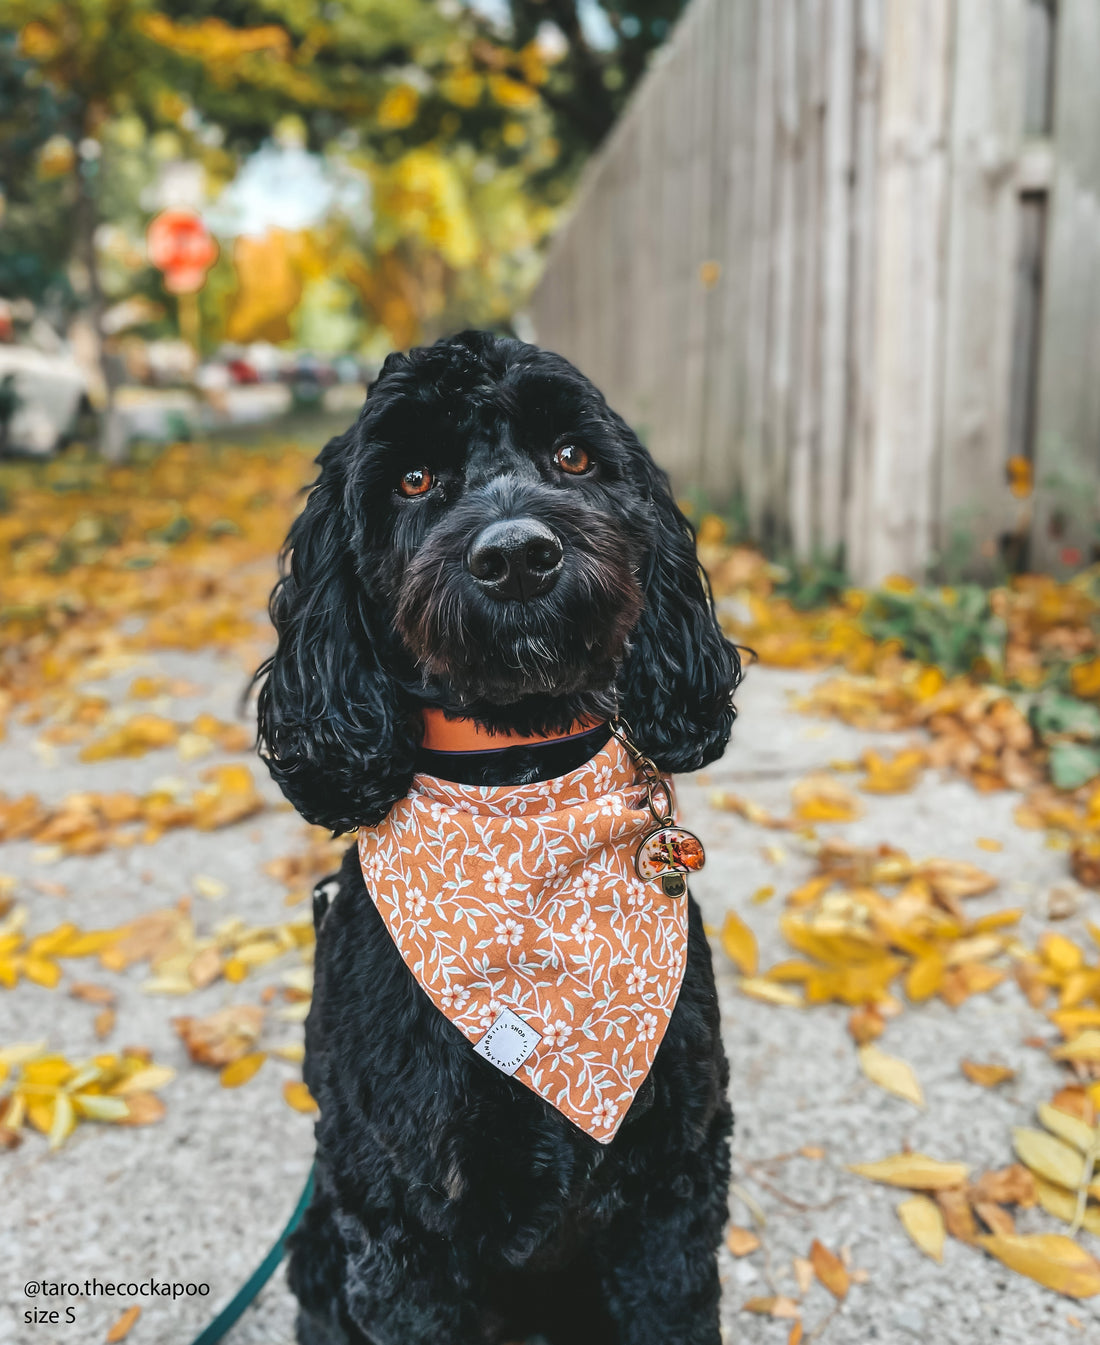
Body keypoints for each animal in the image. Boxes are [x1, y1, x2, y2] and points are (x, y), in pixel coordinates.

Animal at [252, 328, 742, 1345]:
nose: (518, 554)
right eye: (413, 478)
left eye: (573, 455)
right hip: (321, 1244)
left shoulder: (675, 1184)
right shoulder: (400, 1224)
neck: (517, 774)